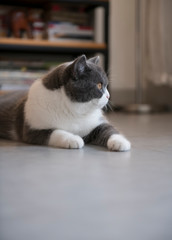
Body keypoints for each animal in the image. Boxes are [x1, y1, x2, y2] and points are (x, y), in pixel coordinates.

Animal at [0, 55, 130, 151]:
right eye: (99, 85)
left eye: (106, 85)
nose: (108, 96)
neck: (74, 110)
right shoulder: (32, 130)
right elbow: (54, 132)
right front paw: (73, 139)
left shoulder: (96, 122)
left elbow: (108, 129)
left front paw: (120, 142)